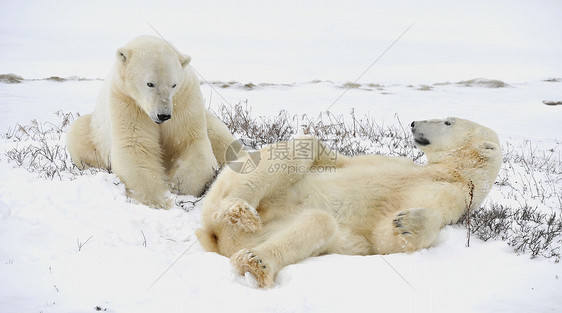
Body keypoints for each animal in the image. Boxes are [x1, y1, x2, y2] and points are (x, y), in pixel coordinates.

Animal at [195, 116, 500, 286]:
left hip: (266, 229)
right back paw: (238, 209)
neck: (451, 172)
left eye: (448, 122)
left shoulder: (453, 198)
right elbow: (335, 160)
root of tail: (218, 239)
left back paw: (255, 261)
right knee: (301, 150)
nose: (414, 123)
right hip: (238, 186)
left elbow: (385, 237)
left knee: (319, 223)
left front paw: (407, 222)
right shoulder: (394, 163)